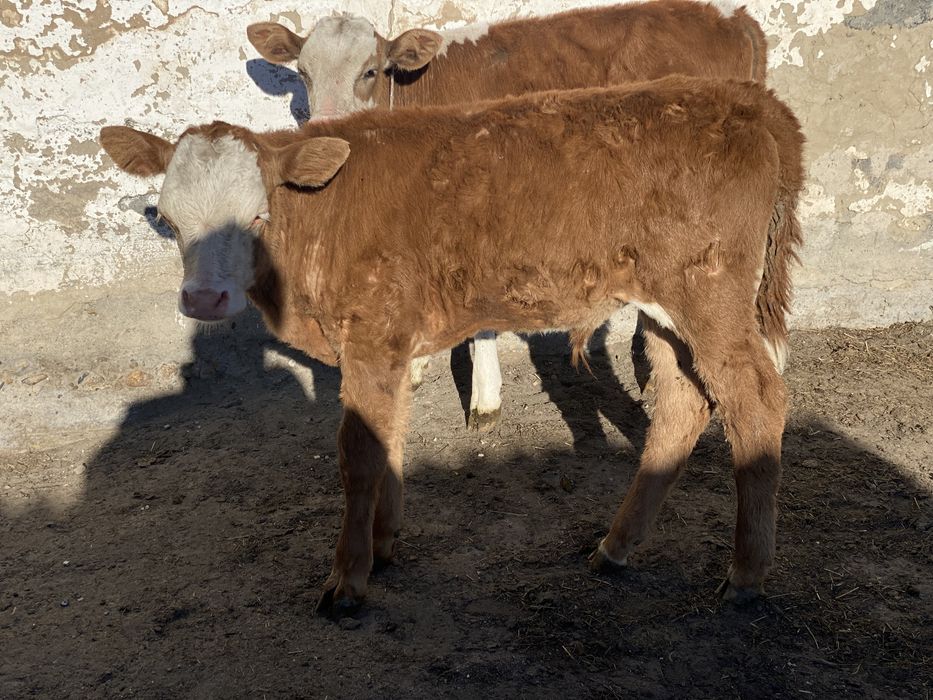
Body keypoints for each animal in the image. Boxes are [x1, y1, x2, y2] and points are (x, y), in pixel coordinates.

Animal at [99, 75, 805, 617]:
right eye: (168, 219)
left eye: (256, 217)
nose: (203, 300)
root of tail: (742, 95)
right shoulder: (391, 344)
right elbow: (389, 437)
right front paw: (384, 546)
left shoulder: (373, 334)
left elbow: (359, 454)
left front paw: (348, 579)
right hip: (665, 311)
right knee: (684, 403)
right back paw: (615, 548)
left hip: (708, 293)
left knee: (756, 400)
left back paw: (746, 576)